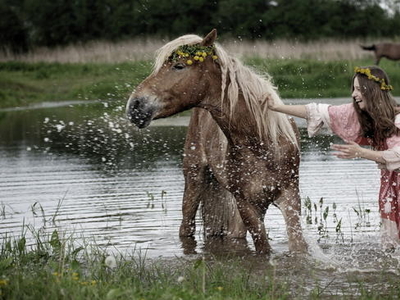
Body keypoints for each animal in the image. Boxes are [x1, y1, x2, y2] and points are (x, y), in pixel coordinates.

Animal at [126, 28, 308, 254]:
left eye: (179, 66)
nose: (134, 105)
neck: (261, 142)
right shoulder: (246, 204)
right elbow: (263, 247)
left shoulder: (290, 197)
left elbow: (297, 247)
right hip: (195, 179)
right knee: (187, 227)